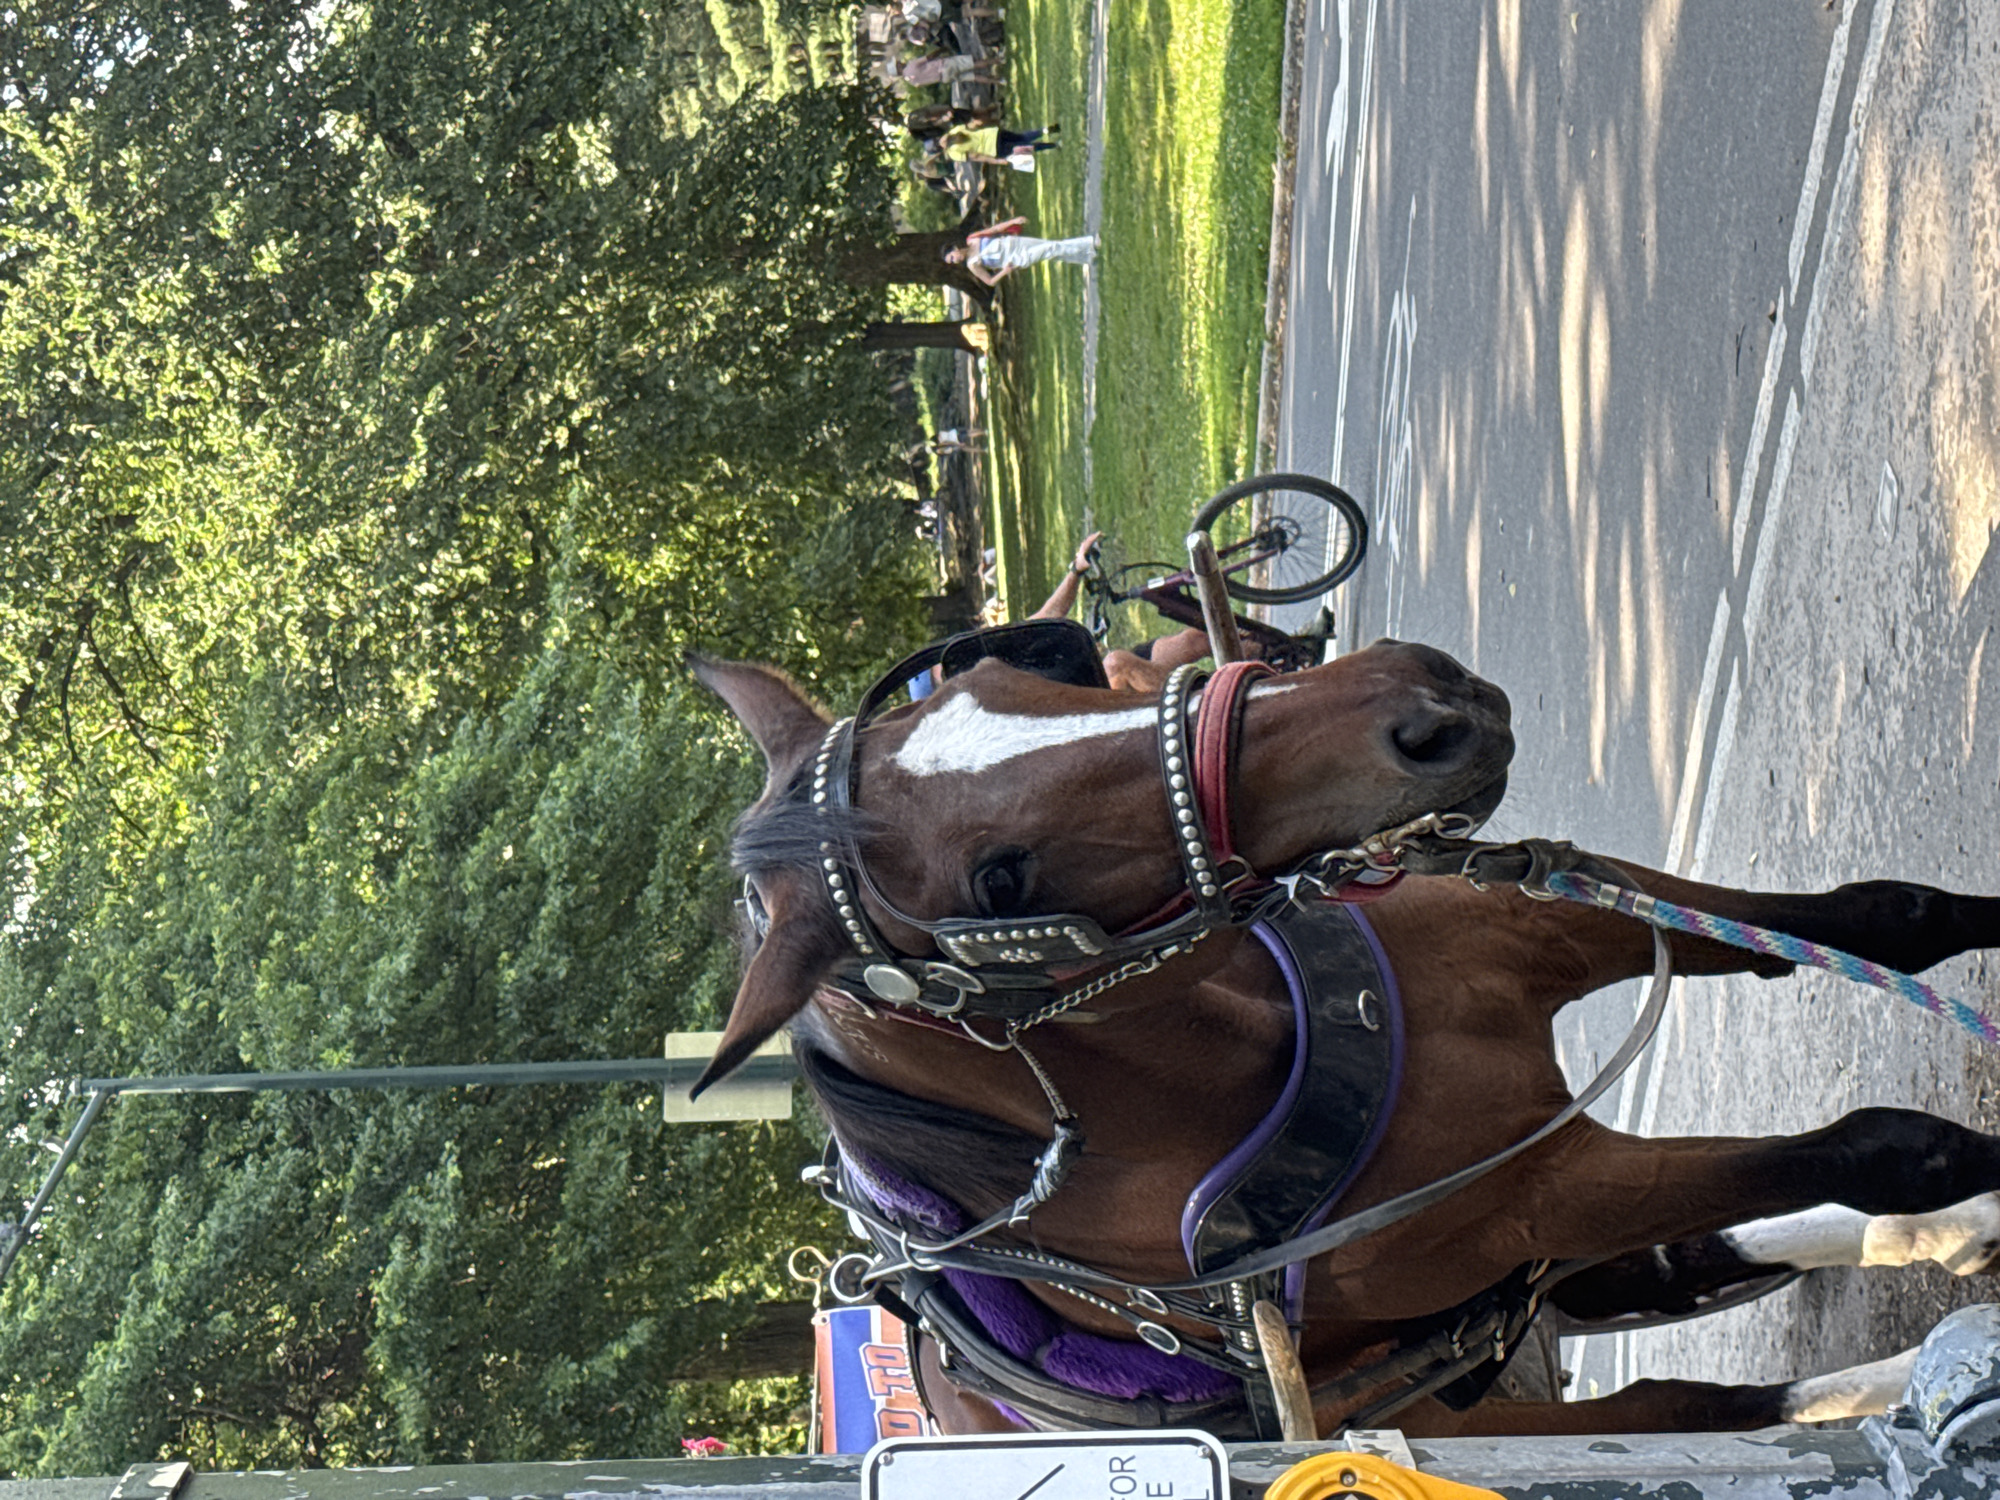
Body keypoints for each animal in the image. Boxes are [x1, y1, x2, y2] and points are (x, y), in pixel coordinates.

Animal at [691, 627, 2000, 1439]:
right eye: (998, 883)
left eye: (1029, 672)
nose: (1425, 706)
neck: (1252, 1039)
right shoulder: (1545, 1192)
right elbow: (1889, 1144)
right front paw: (1962, 1195)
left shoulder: (1552, 919)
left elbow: (1889, 919)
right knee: (1683, 1401)